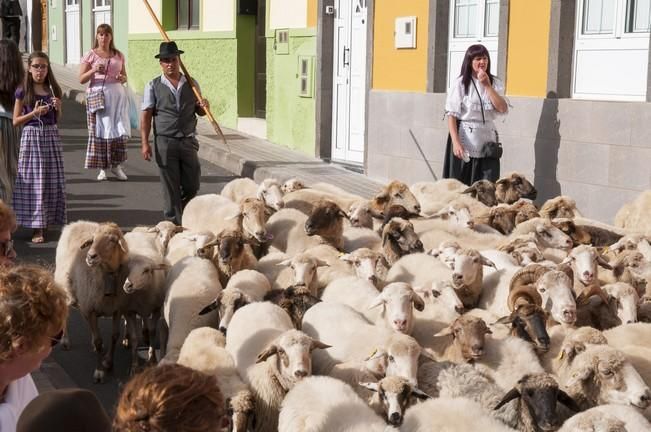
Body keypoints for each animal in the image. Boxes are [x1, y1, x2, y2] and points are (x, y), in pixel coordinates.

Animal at [54, 223, 130, 382]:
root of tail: (75, 223)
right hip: (65, 287)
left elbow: (114, 335)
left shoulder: (117, 309)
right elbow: (99, 341)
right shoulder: (91, 309)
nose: (90, 256)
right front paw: (99, 371)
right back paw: (65, 340)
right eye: (93, 239)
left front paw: (108, 362)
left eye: (112, 240)